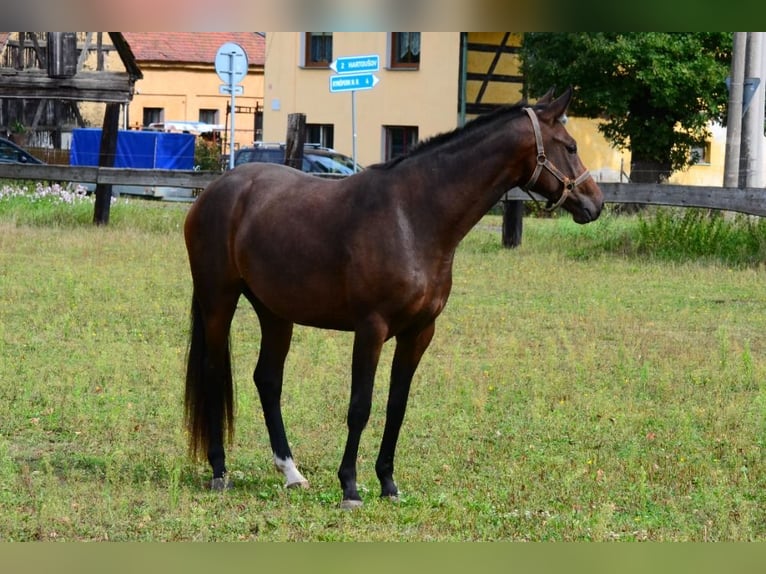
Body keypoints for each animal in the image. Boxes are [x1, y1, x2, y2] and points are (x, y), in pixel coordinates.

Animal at [183, 85, 604, 508]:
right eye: (569, 146)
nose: (595, 203)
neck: (412, 217)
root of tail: (215, 191)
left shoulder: (419, 332)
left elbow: (396, 406)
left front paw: (388, 482)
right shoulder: (371, 328)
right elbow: (360, 406)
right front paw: (350, 487)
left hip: (275, 312)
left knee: (268, 380)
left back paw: (291, 473)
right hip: (218, 300)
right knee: (214, 373)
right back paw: (219, 471)